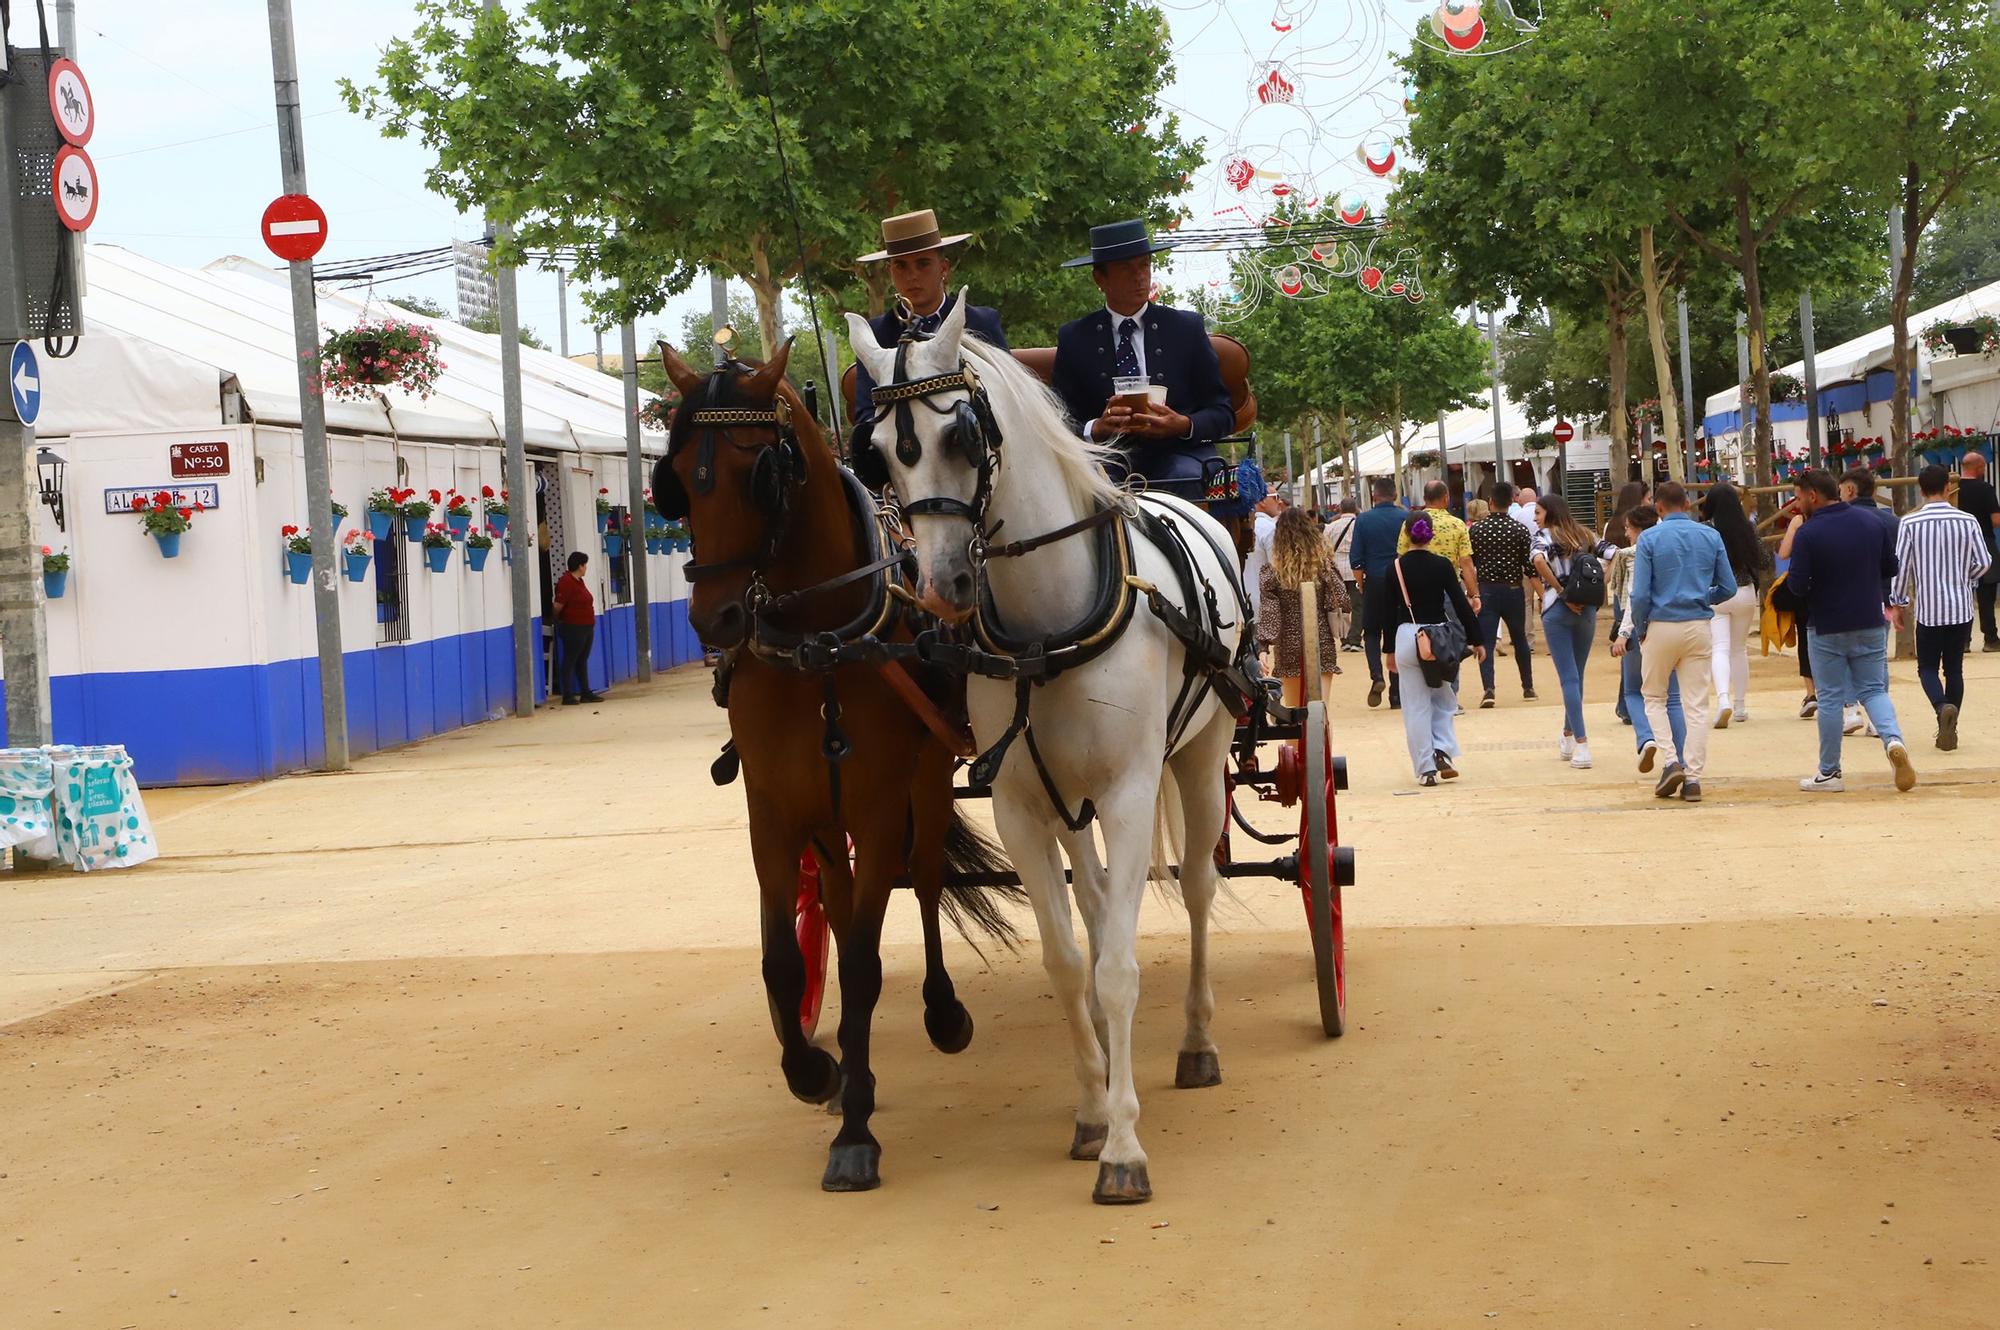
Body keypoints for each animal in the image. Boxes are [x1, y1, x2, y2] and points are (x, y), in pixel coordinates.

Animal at [656, 338, 1016, 1184]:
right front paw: (815, 1070)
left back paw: (941, 1013)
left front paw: (855, 1131)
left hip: (923, 780)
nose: (714, 618)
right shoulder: (774, 812)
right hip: (827, 817)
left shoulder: (880, 808)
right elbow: (785, 962)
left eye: (759, 470)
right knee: (843, 899)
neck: (817, 640)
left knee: (924, 881)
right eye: (678, 476)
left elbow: (861, 964)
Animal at [848, 298, 1248, 1200]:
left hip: (1200, 757)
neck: (1045, 622)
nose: (941, 587)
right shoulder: (1022, 806)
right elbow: (1070, 960)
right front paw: (1095, 1108)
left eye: (963, 435)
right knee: (1097, 904)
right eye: (879, 452)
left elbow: (1121, 965)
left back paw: (1200, 1041)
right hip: (1073, 799)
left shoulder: (1131, 793)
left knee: (1199, 889)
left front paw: (1124, 1149)